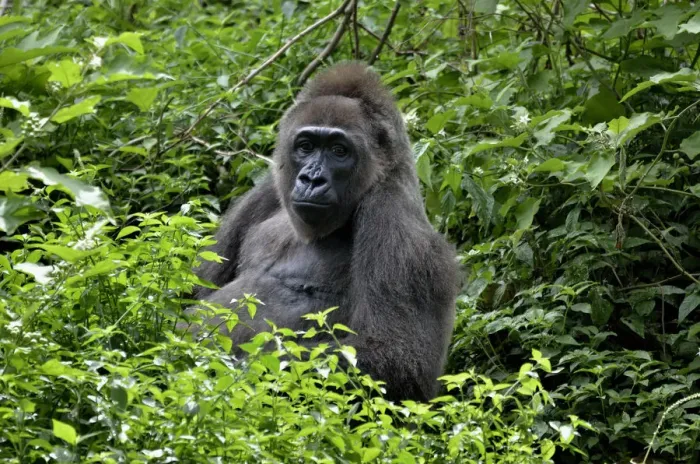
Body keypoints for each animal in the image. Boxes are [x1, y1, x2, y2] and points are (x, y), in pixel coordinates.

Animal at [193, 62, 460, 402]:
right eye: (306, 147)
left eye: (339, 150)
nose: (311, 179)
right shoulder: (266, 188)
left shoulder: (393, 216)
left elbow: (397, 358)